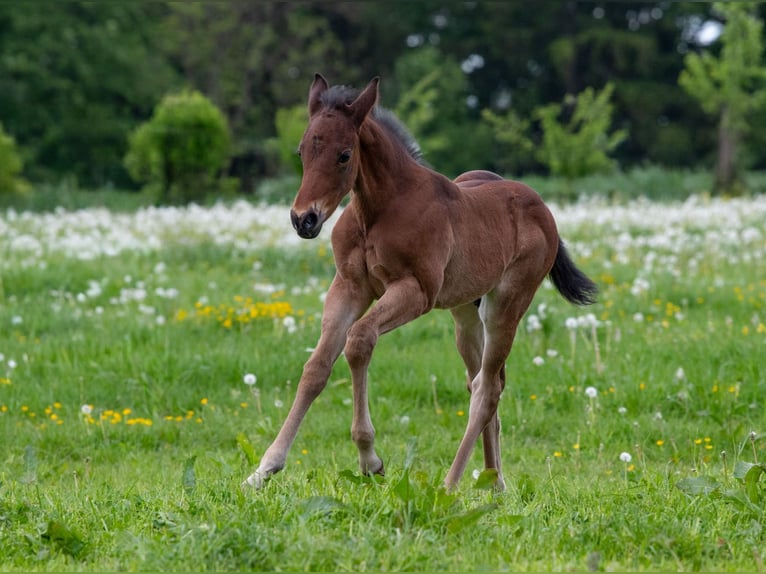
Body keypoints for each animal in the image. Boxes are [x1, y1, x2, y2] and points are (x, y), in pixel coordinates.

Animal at [243, 74, 597, 492]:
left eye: (344, 155)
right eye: (301, 152)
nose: (304, 219)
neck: (378, 211)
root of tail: (542, 207)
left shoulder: (416, 291)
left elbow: (359, 341)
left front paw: (370, 460)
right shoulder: (349, 287)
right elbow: (316, 368)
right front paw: (264, 468)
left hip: (506, 304)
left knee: (486, 389)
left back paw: (451, 484)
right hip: (465, 314)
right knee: (484, 382)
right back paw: (494, 483)